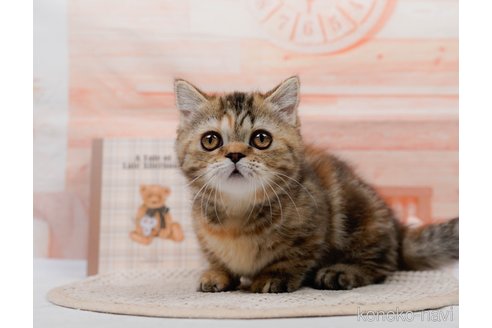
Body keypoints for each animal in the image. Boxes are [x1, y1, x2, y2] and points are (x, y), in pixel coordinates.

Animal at [173, 76, 458, 292]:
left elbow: (294, 256)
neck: (238, 211)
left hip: (360, 213)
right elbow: (214, 255)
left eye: (261, 139)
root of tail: (397, 229)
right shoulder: (202, 231)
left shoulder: (314, 225)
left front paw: (273, 276)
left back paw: (342, 271)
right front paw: (218, 272)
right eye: (211, 140)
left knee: (383, 263)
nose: (234, 154)